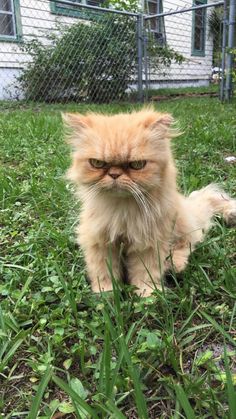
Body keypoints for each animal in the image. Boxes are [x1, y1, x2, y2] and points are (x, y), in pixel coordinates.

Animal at [63, 109, 236, 298]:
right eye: (97, 163)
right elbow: (103, 272)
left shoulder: (149, 242)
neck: (121, 209)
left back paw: (175, 264)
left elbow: (145, 273)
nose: (114, 174)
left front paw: (148, 295)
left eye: (137, 165)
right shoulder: (99, 241)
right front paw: (106, 293)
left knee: (188, 242)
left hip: (179, 225)